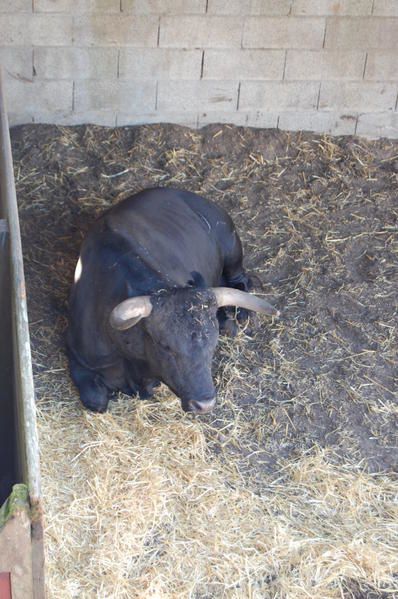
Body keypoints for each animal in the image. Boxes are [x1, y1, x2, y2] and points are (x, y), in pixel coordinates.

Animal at [66, 190, 276, 414]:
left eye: (212, 344)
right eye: (164, 346)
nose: (204, 404)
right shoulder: (77, 357)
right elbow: (97, 402)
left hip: (231, 248)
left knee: (240, 279)